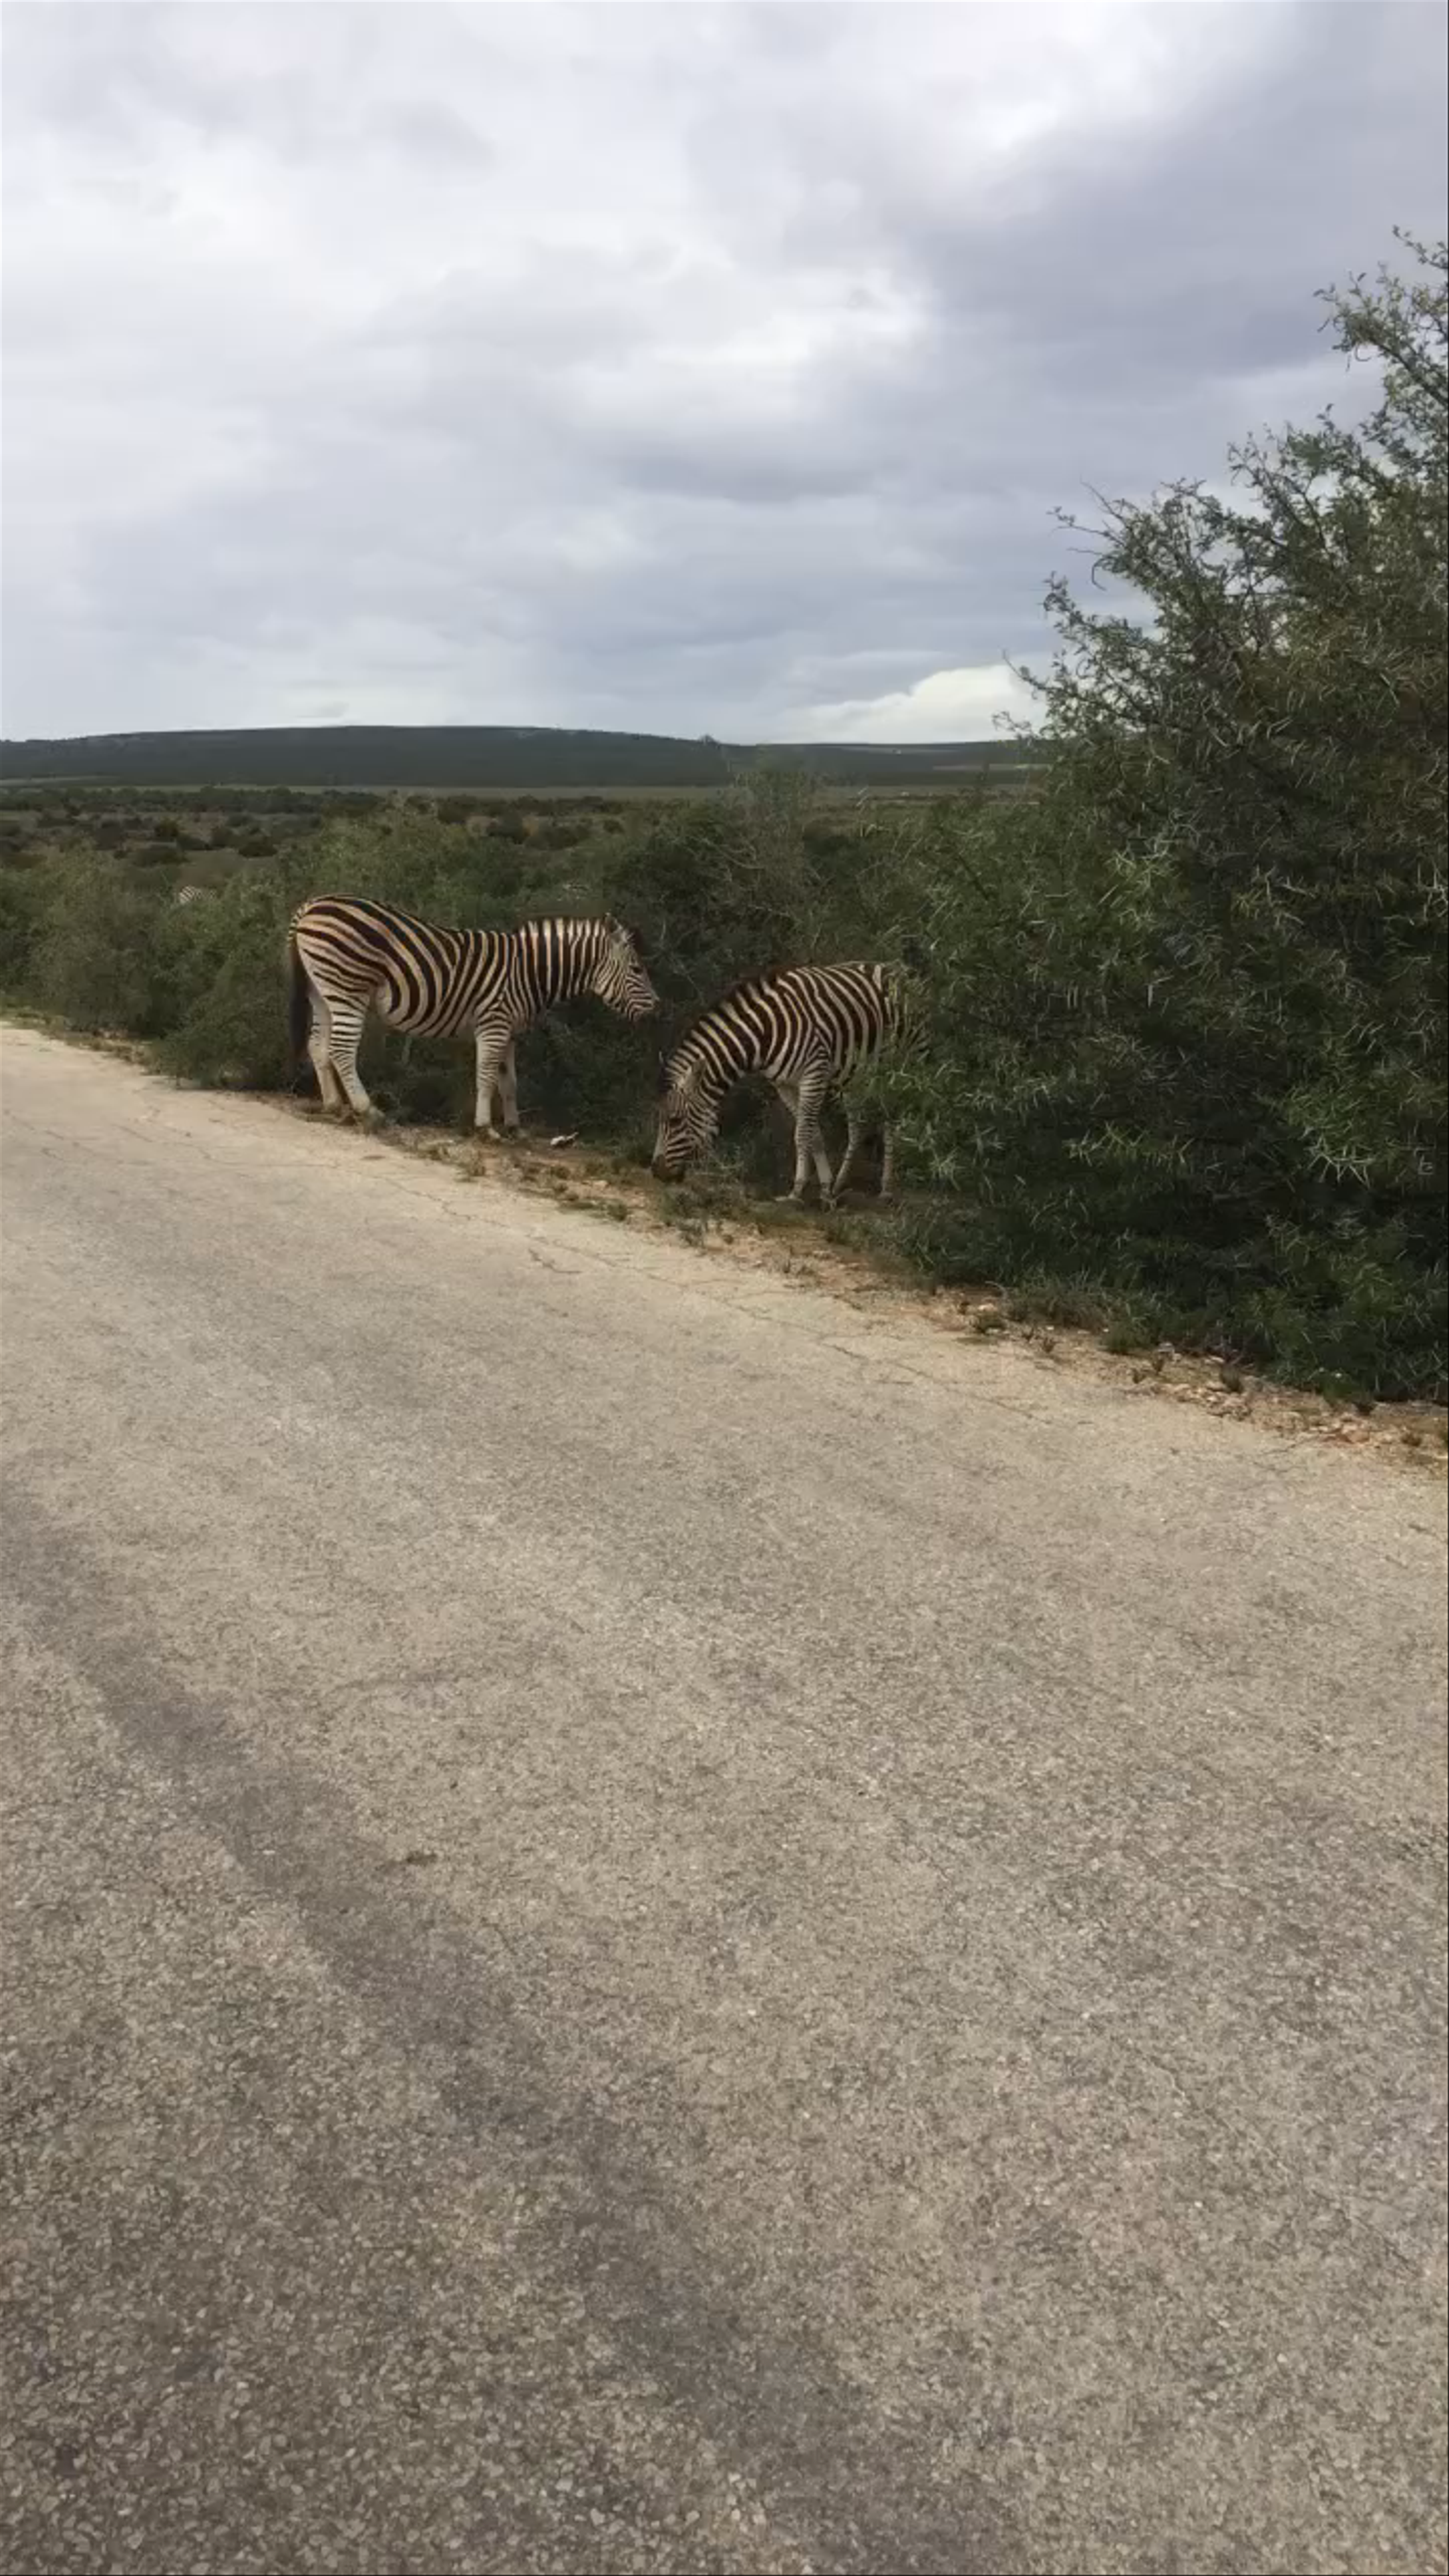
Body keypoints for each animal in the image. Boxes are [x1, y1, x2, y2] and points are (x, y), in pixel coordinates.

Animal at [287, 895, 658, 1133]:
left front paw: (514, 1127)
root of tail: (310, 906)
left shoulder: (510, 1031)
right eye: (638, 970)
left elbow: (509, 1081)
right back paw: (369, 1111)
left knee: (318, 1046)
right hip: (348, 987)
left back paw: (334, 1106)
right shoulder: (493, 1024)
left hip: (322, 991)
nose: (658, 1010)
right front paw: (485, 1127)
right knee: (341, 1049)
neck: (528, 972)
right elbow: (486, 1076)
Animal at [651, 962, 908, 1203]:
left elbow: (802, 1134)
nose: (656, 1173)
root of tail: (891, 967)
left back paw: (886, 1190)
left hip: (897, 1065)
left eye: (675, 1121)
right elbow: (814, 1134)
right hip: (855, 1076)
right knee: (858, 1126)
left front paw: (796, 1192)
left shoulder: (814, 1074)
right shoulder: (785, 1085)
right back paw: (841, 1183)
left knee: (891, 1122)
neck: (764, 1034)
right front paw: (826, 1189)